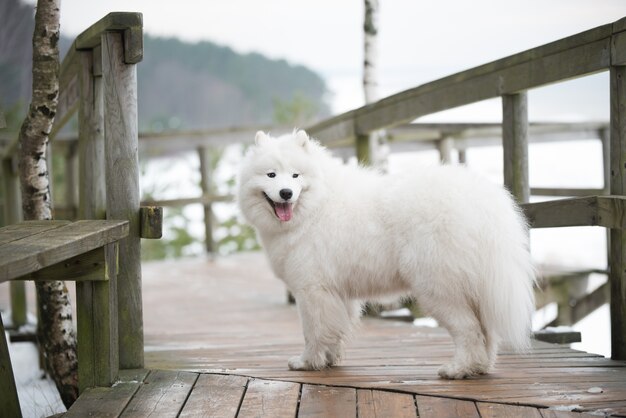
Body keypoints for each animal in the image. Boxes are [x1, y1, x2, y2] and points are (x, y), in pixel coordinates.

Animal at [236, 130, 532, 378]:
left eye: (296, 176)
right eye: (271, 175)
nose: (286, 193)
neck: (315, 207)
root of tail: (484, 202)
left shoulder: (312, 290)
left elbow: (313, 331)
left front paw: (308, 362)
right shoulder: (336, 293)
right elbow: (335, 330)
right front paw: (329, 360)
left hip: (437, 287)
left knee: (468, 330)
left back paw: (457, 369)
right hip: (472, 289)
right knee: (486, 332)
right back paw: (480, 367)